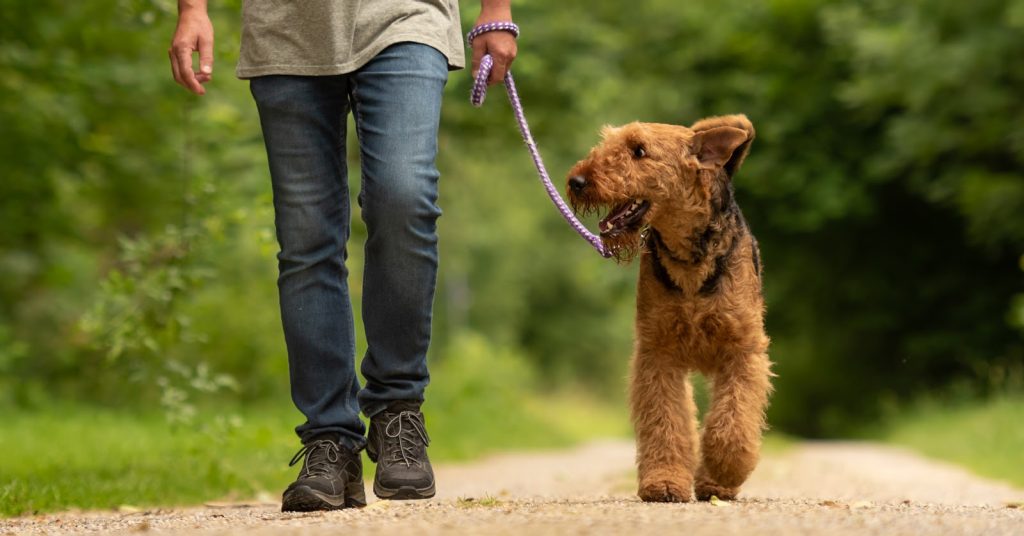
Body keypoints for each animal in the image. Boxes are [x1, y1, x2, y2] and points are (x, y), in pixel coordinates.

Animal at [565, 114, 770, 504]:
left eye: (639, 150)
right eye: (608, 143)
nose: (576, 181)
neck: (689, 259)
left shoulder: (742, 349)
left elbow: (732, 422)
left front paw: (723, 469)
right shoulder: (658, 352)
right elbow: (665, 422)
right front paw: (663, 482)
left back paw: (716, 483)